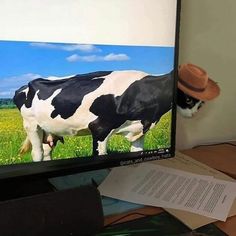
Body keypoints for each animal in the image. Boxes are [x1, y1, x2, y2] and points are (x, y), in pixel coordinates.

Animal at [13, 70, 174, 162]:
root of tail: (25, 86)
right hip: (31, 125)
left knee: (47, 152)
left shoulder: (139, 130)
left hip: (50, 129)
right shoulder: (100, 128)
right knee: (37, 153)